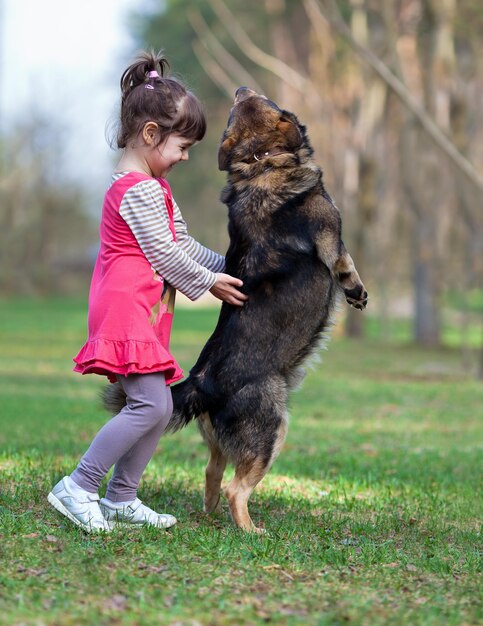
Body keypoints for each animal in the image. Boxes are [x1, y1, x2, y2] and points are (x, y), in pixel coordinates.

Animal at [104, 85, 368, 528]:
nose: (241, 88)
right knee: (235, 488)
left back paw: (211, 514)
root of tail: (202, 383)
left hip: (223, 439)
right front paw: (356, 292)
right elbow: (345, 264)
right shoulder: (331, 233)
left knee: (212, 470)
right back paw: (250, 529)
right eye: (268, 99)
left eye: (243, 104)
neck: (261, 163)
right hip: (272, 429)